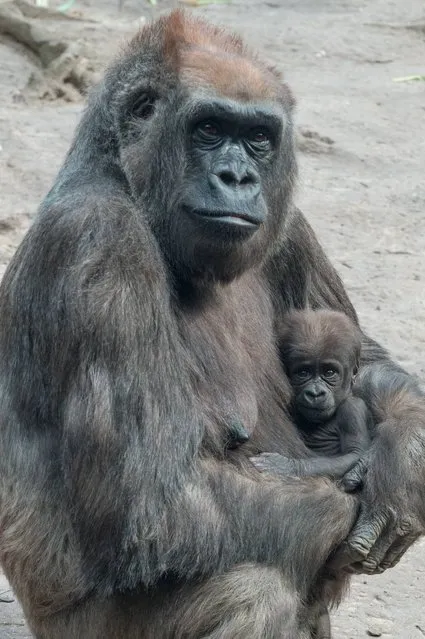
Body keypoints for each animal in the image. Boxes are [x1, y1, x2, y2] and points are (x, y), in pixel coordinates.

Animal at [252, 308, 372, 480]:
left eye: (329, 372)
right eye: (303, 373)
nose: (315, 393)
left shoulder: (353, 409)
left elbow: (354, 454)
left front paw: (290, 467)